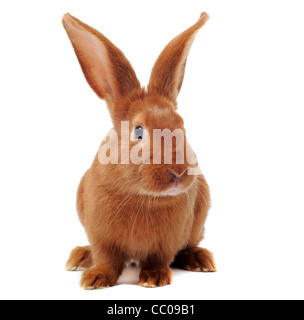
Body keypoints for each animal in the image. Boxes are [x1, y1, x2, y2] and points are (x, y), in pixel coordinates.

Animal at [63, 12, 216, 288]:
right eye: (138, 131)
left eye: (181, 125)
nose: (178, 172)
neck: (142, 197)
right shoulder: (101, 235)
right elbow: (106, 258)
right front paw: (95, 279)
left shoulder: (166, 241)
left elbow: (159, 258)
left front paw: (154, 278)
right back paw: (80, 257)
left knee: (190, 245)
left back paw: (200, 260)